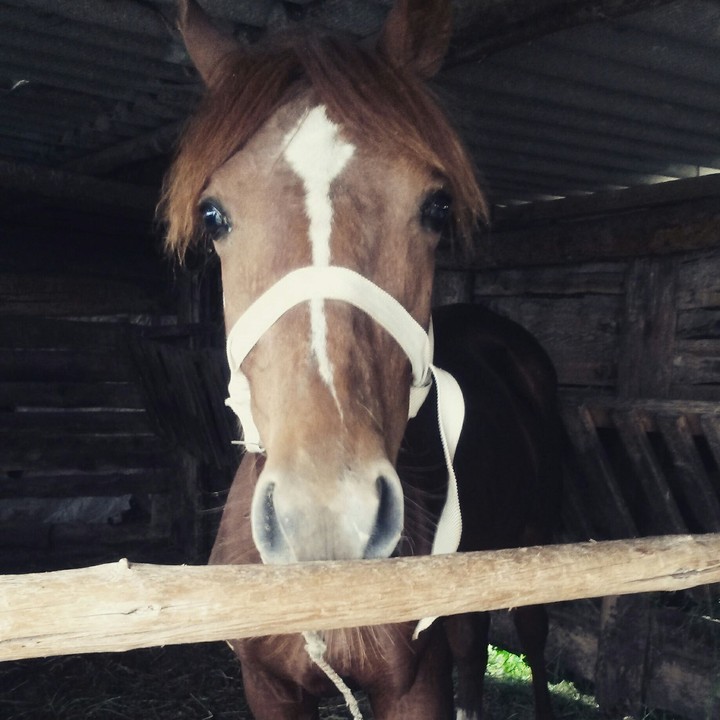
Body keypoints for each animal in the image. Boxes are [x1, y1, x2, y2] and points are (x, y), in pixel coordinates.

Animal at [161, 1, 562, 718]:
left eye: (437, 207)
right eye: (212, 215)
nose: (327, 517)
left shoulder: (415, 686)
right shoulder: (268, 688)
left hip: (534, 543)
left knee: (534, 643)